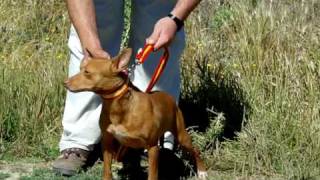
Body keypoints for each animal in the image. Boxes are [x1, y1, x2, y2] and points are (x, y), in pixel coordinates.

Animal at [65, 48, 208, 180]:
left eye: (87, 72)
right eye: (80, 69)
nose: (65, 82)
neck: (118, 107)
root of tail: (168, 97)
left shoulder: (152, 147)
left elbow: (153, 175)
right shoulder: (107, 142)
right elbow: (106, 169)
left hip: (181, 136)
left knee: (195, 150)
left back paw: (202, 171)